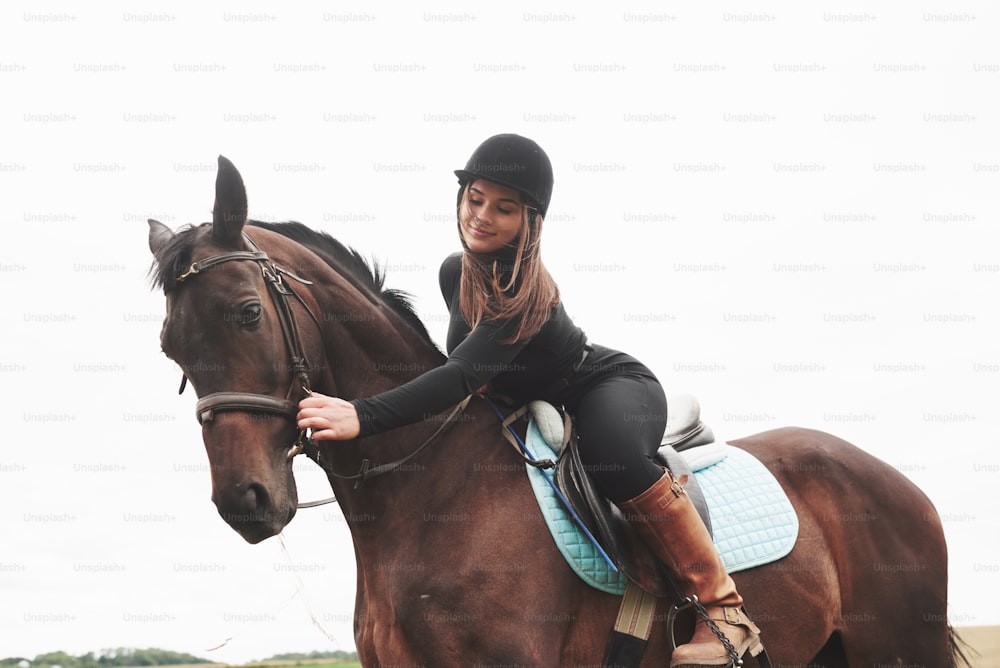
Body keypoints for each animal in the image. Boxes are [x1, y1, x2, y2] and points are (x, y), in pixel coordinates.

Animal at [148, 158, 968, 668]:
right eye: (169, 347)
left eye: (249, 313)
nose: (245, 501)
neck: (434, 494)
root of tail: (898, 481)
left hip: (898, 644)